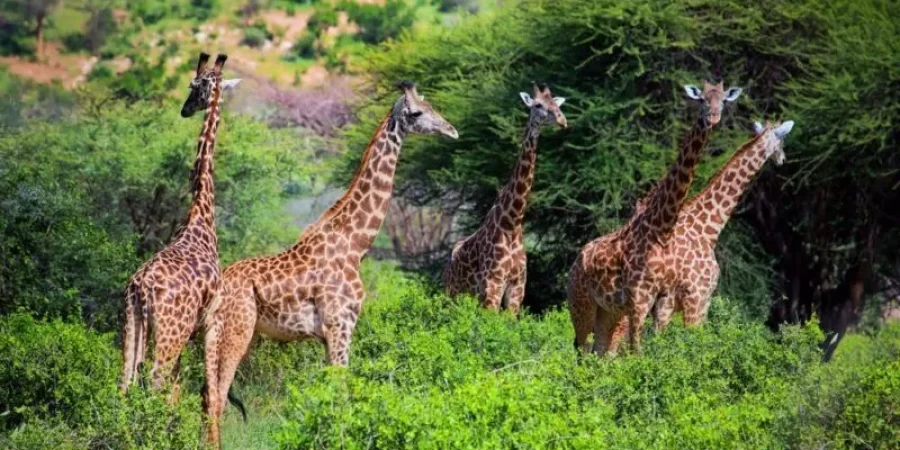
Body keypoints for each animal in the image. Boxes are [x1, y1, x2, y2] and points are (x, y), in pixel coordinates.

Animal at [118, 52, 241, 394]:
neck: (200, 213)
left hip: (132, 321)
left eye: (196, 86)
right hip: (172, 332)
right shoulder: (207, 320)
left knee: (125, 380)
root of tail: (142, 289)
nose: (185, 109)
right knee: (156, 380)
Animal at [202, 81, 458, 446]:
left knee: (207, 394)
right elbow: (341, 390)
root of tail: (217, 289)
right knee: (218, 396)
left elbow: (330, 392)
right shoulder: (341, 325)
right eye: (417, 112)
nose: (451, 130)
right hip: (236, 331)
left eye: (431, 104)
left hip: (224, 334)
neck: (355, 243)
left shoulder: (327, 335)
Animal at [444, 82, 568, 312]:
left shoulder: (517, 286)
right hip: (452, 292)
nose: (562, 120)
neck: (512, 224)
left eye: (556, 104)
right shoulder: (493, 283)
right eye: (537, 105)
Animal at [568, 79, 740, 356]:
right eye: (702, 99)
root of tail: (575, 262)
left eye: (723, 101)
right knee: (582, 349)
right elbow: (638, 350)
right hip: (581, 303)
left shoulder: (662, 297)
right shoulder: (639, 298)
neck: (661, 228)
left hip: (608, 310)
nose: (713, 117)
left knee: (599, 349)